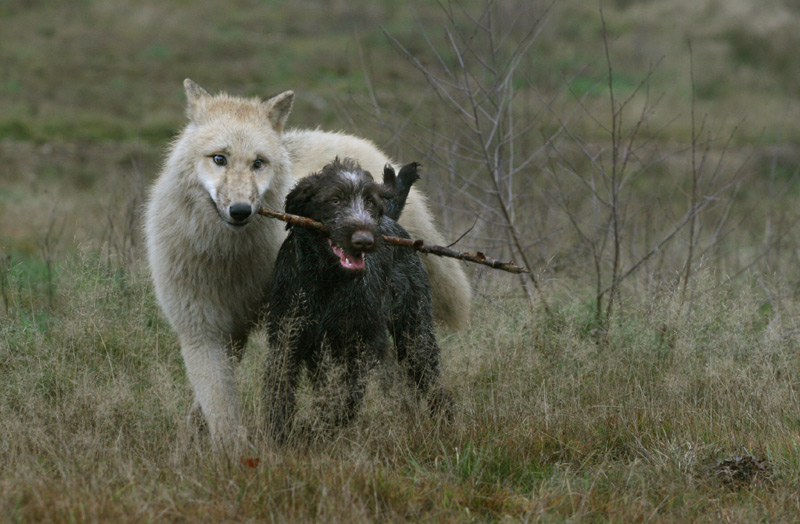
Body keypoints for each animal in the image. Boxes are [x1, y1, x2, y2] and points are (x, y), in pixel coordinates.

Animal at [268, 158, 450, 440]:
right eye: (335, 200)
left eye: (370, 202)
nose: (364, 240)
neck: (326, 281)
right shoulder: (287, 337)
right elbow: (280, 389)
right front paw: (281, 435)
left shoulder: (360, 344)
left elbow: (346, 398)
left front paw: (320, 429)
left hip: (415, 332)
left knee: (430, 378)